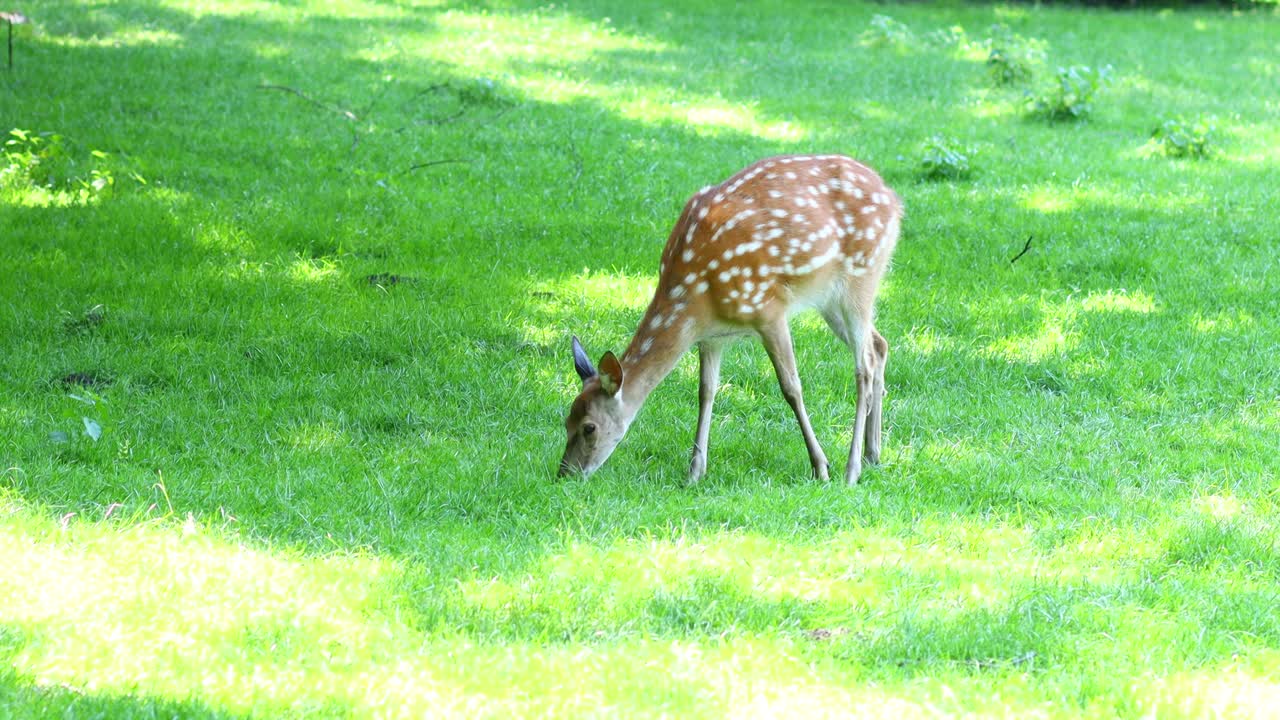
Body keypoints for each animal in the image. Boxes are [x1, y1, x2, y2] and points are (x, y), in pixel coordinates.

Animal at [558, 154, 901, 484]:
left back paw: (852, 469)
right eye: (566, 419)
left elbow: (791, 387)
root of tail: (894, 200)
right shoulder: (710, 336)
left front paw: (820, 466)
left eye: (589, 427)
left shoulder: (769, 310)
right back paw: (873, 454)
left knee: (863, 366)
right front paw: (694, 472)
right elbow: (705, 391)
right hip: (828, 299)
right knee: (880, 345)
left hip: (862, 275)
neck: (697, 295)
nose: (565, 473)